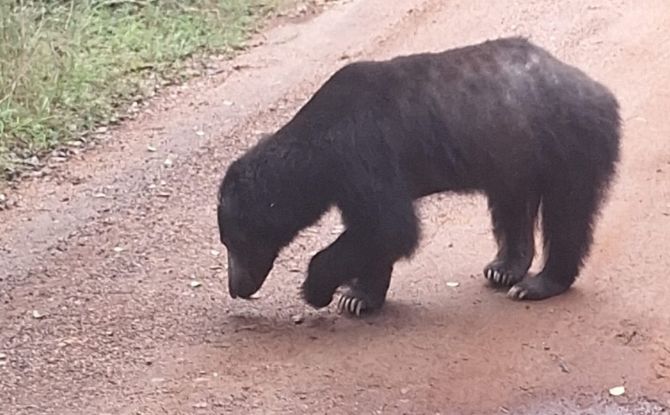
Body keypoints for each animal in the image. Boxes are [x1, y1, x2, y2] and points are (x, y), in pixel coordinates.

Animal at [216, 36, 621, 317]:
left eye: (235, 242)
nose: (237, 287)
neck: (319, 153)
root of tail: (600, 91)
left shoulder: (364, 154)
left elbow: (390, 226)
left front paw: (321, 290)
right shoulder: (350, 181)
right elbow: (373, 231)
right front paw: (358, 297)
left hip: (568, 144)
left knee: (567, 214)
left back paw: (539, 283)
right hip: (514, 153)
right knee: (512, 205)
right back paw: (505, 269)